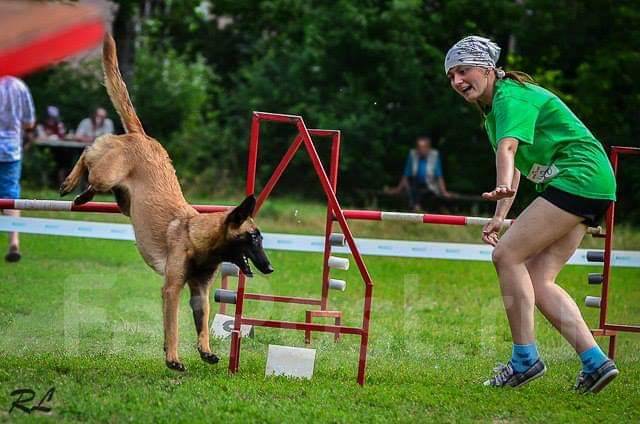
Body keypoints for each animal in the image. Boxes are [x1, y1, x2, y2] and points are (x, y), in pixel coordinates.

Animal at [62, 35, 276, 372]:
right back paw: (72, 185)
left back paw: (82, 194)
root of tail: (143, 136)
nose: (269, 267)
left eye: (261, 239)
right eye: (252, 238)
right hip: (106, 174)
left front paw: (206, 350)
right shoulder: (172, 288)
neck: (198, 237)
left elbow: (202, 323)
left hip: (123, 200)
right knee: (88, 153)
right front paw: (173, 358)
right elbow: (173, 326)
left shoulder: (199, 291)